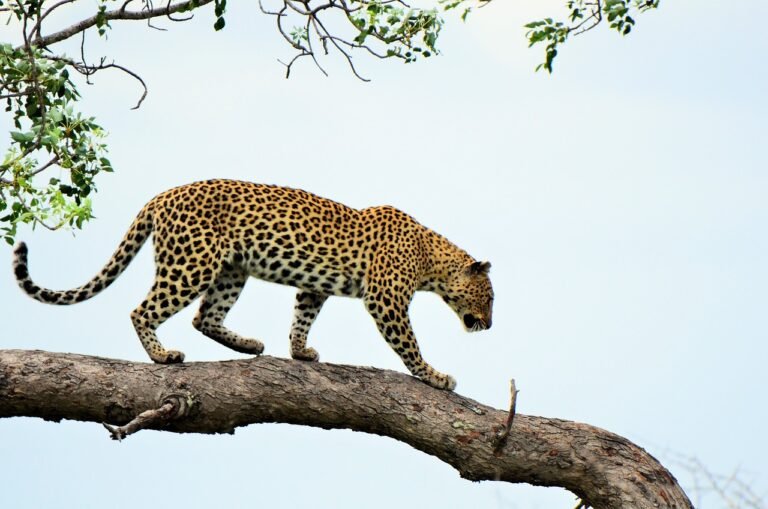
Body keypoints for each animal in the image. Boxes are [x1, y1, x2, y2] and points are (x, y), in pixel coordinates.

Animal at [12, 179, 494, 390]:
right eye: (489, 297)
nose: (489, 325)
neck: (432, 259)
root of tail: (161, 196)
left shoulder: (315, 286)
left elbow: (302, 315)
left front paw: (300, 352)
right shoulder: (386, 299)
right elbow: (409, 344)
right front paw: (435, 376)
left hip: (231, 270)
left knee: (205, 317)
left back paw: (248, 345)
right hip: (192, 264)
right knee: (142, 310)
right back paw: (163, 356)